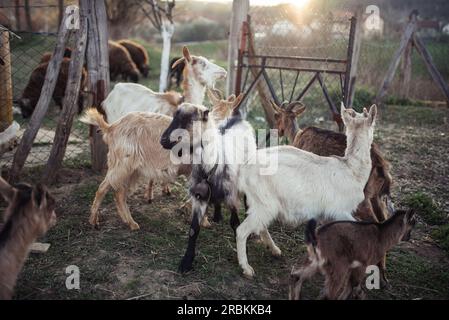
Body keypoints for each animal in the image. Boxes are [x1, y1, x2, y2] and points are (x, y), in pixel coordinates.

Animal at [236, 103, 376, 278]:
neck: (351, 169)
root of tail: (244, 168)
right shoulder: (339, 211)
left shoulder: (326, 216)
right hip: (265, 203)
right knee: (241, 230)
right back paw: (247, 269)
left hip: (261, 204)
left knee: (260, 226)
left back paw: (275, 250)